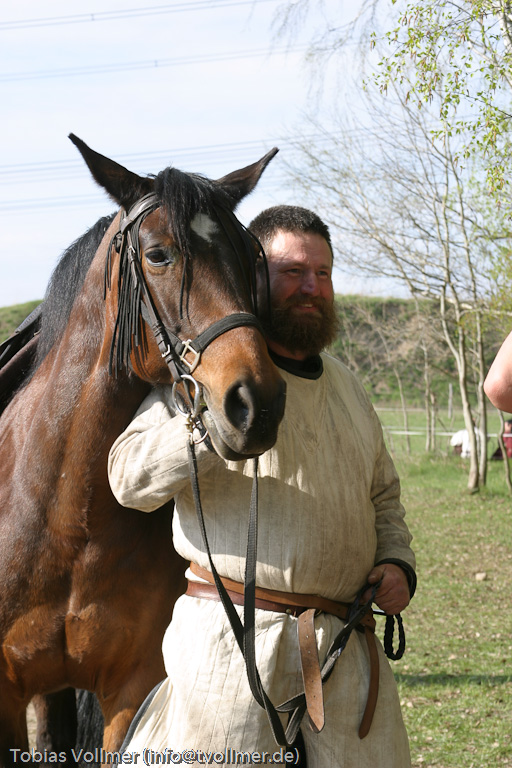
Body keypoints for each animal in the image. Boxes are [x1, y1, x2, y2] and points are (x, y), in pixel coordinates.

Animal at [0, 135, 286, 765]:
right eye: (158, 255)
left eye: (247, 261)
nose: (257, 402)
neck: (66, 515)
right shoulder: (4, 691)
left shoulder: (130, 692)